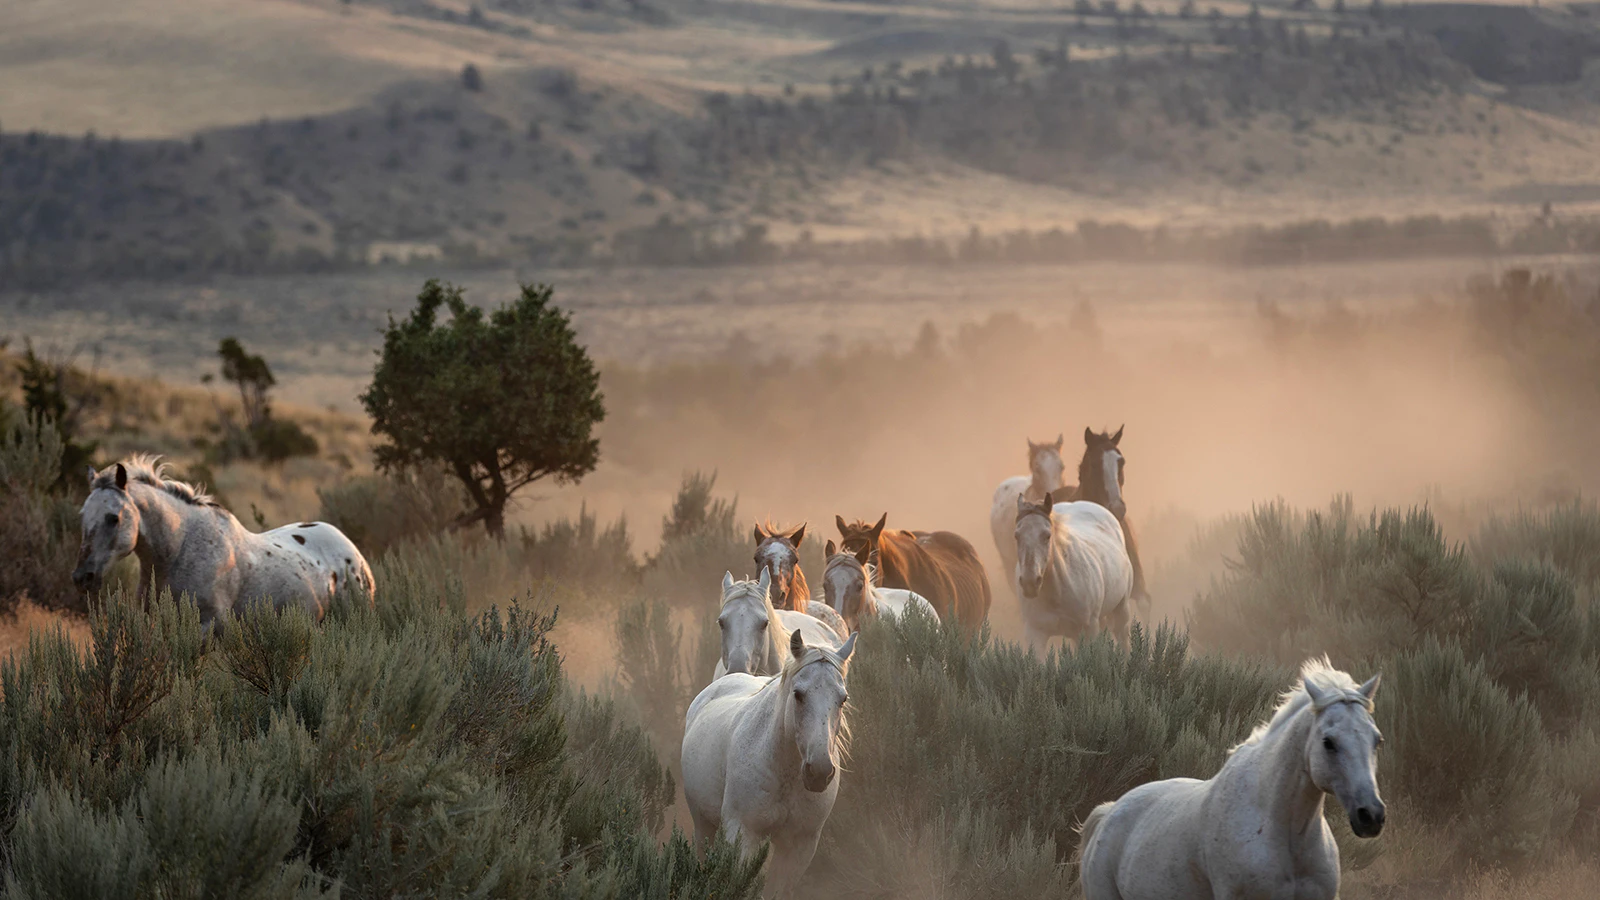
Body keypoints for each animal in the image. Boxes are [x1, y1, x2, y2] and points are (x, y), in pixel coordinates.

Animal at [71, 456, 374, 631]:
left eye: (113, 518)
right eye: (83, 515)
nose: (81, 577)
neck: (179, 551)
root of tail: (355, 554)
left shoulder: (209, 627)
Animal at [682, 629, 857, 898]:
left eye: (843, 699)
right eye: (798, 694)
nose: (819, 771)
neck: (785, 771)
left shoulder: (799, 845)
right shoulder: (744, 833)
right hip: (702, 822)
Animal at [1012, 493, 1132, 655]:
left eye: (1047, 535)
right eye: (1017, 536)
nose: (1029, 583)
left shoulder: (1089, 629)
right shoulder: (1035, 633)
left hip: (1121, 609)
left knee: (1122, 636)